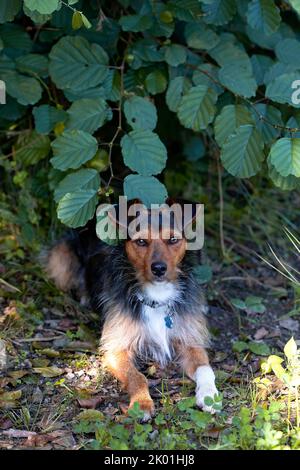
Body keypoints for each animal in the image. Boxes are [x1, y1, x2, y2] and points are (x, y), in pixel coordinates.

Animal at [45, 198, 218, 418]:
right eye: (141, 242)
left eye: (172, 239)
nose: (159, 268)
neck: (157, 296)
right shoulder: (116, 348)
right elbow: (136, 376)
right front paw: (141, 403)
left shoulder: (190, 341)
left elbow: (206, 369)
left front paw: (210, 395)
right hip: (62, 254)